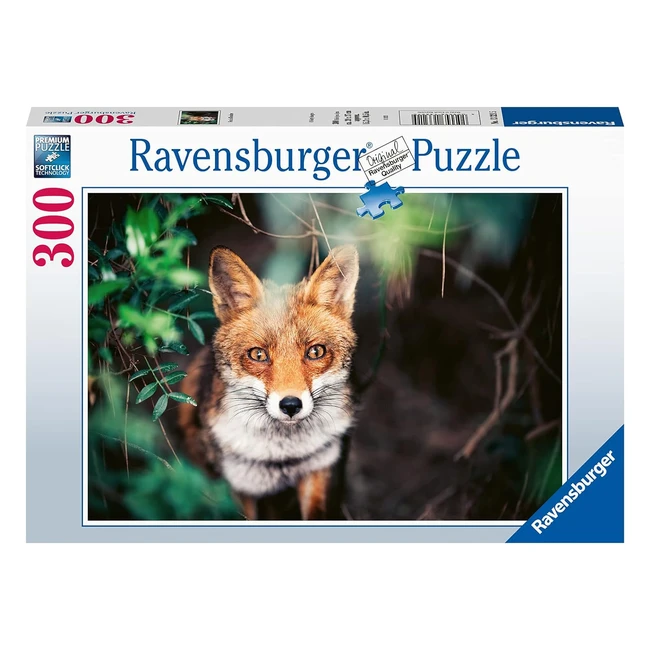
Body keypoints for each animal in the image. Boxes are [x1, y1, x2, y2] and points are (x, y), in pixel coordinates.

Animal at [177, 244, 359, 520]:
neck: (282, 456)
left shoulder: (318, 469)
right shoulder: (240, 487)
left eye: (315, 352)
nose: (291, 405)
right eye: (258, 355)